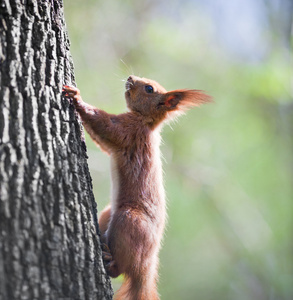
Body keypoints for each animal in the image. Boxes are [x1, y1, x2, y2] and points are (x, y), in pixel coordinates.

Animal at [62, 76, 211, 298]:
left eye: (149, 88)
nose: (130, 78)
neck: (146, 122)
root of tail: (146, 266)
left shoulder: (128, 130)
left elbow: (105, 124)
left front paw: (76, 97)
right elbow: (103, 142)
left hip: (129, 221)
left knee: (122, 268)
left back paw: (110, 262)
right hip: (108, 215)